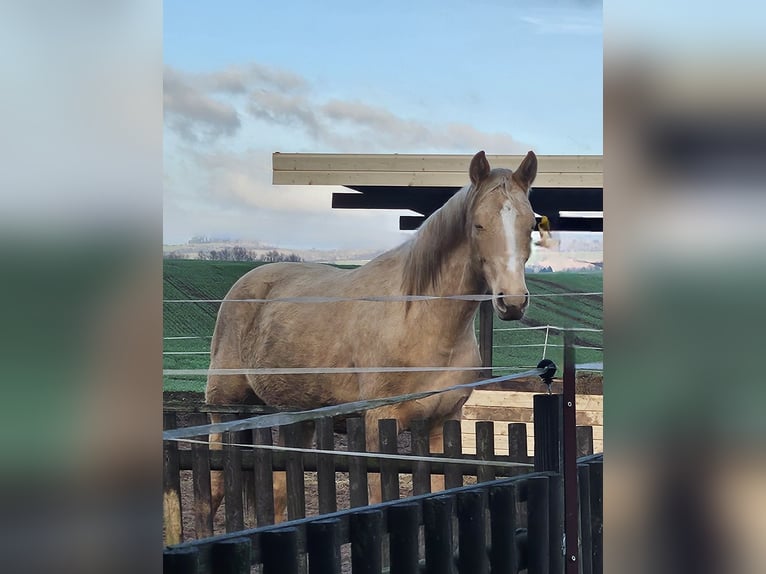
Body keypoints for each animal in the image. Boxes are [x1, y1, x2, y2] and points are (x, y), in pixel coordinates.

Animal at [205, 150, 538, 521]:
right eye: (479, 224)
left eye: (530, 225)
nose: (512, 302)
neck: (420, 320)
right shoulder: (379, 427)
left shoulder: (442, 425)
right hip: (223, 409)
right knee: (212, 493)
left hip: (296, 417)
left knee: (279, 491)